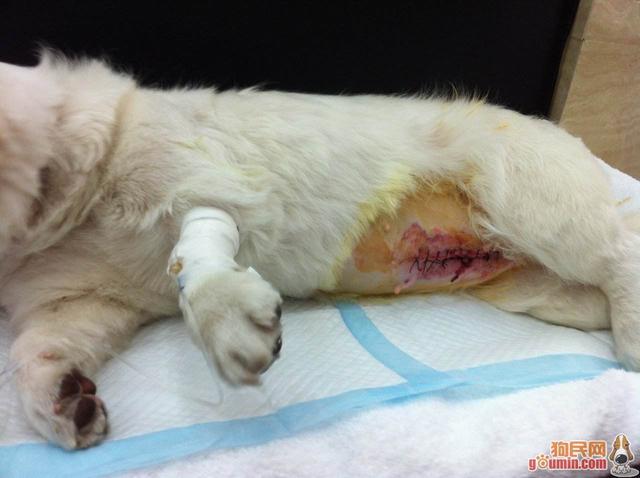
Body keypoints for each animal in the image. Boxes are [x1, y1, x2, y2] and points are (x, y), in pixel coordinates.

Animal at [1, 52, 639, 449]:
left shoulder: (212, 188)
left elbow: (199, 270)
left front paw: (232, 330)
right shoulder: (81, 302)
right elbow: (36, 351)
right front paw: (63, 403)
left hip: (533, 202)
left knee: (622, 249)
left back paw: (632, 334)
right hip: (532, 286)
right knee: (592, 290)